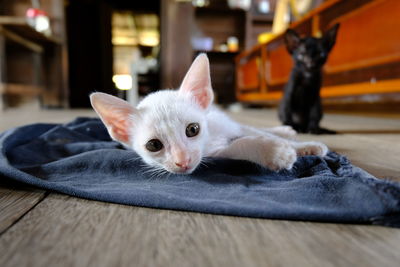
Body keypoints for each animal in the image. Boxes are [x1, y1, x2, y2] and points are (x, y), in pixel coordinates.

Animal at [89, 54, 326, 176]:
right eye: (154, 145)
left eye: (193, 129)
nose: (182, 161)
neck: (211, 138)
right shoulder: (216, 154)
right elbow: (241, 145)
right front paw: (273, 151)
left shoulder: (226, 126)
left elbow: (255, 132)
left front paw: (305, 146)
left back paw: (286, 130)